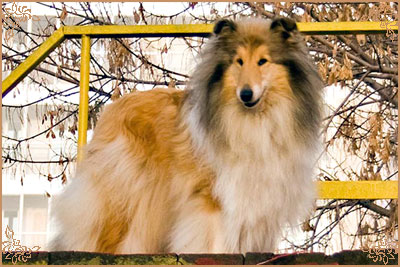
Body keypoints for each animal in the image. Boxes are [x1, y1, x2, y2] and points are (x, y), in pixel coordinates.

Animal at [50, 17, 324, 254]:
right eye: (238, 61)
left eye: (263, 61)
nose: (246, 94)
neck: (254, 119)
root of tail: (113, 108)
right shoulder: (212, 197)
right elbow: (217, 243)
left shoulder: (262, 199)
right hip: (124, 191)